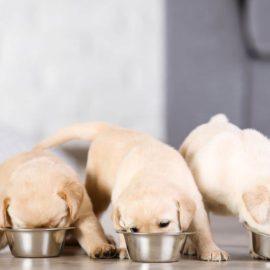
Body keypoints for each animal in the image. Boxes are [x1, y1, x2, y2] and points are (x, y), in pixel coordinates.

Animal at [34, 123, 228, 262]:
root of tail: (110, 129)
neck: (153, 173)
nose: (153, 248)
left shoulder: (195, 203)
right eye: (134, 229)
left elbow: (202, 230)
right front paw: (123, 248)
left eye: (164, 224)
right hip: (98, 192)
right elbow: (121, 230)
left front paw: (212, 250)